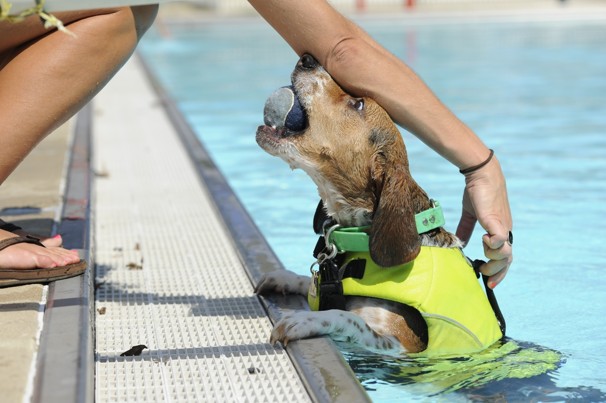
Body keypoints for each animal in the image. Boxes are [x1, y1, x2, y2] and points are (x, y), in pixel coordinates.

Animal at [254, 54, 506, 356]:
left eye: (357, 103)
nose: (307, 58)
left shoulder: (400, 344)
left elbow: (346, 316)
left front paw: (304, 320)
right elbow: (315, 285)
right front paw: (287, 278)